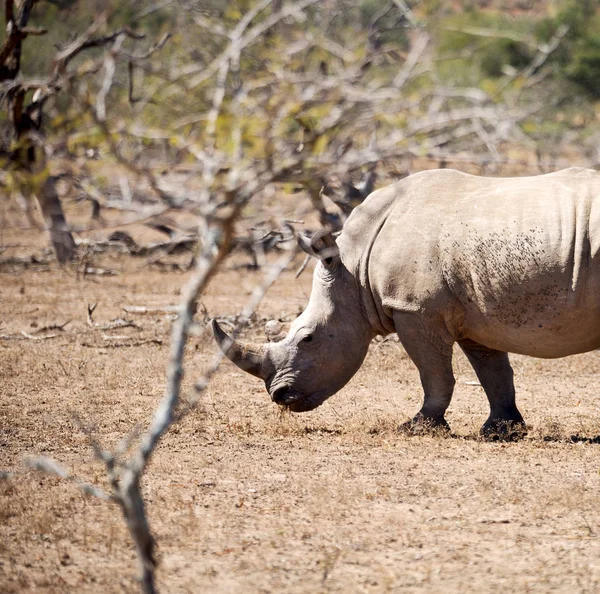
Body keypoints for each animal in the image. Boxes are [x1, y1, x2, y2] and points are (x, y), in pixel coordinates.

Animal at [213, 166, 600, 434]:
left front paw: (418, 427)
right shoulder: (477, 313)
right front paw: (502, 431)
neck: (354, 266)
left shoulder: (414, 308)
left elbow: (433, 372)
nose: (279, 397)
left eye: (308, 338)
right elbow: (493, 371)